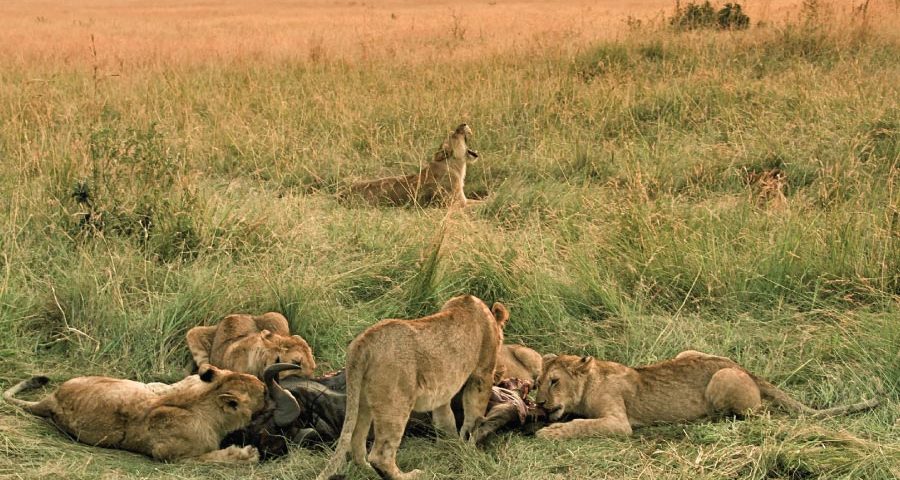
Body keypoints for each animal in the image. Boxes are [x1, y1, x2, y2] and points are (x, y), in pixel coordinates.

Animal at [2, 365, 267, 462]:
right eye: (262, 392)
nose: (266, 385)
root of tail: (51, 398)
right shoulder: (165, 453)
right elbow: (206, 458)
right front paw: (245, 455)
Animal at [186, 312, 315, 380]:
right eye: (297, 362)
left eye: (313, 363)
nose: (313, 375)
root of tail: (233, 315)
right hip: (192, 333)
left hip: (276, 315)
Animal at [316, 295, 509, 480]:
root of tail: (364, 342)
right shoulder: (482, 374)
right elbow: (474, 412)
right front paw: (470, 442)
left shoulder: (442, 392)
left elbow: (445, 419)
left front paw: (452, 445)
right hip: (396, 403)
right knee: (381, 455)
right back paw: (411, 475)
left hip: (362, 401)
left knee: (356, 441)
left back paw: (368, 471)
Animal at [343, 123, 479, 207]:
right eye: (455, 134)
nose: (464, 124)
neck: (457, 165)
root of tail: (342, 193)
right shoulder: (456, 204)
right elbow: (480, 204)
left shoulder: (463, 200)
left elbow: (479, 200)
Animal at [533, 350, 880, 440]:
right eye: (537, 382)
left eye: (554, 382)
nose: (539, 403)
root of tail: (744, 368)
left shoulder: (619, 423)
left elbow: (584, 425)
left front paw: (551, 432)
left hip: (723, 379)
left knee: (759, 413)